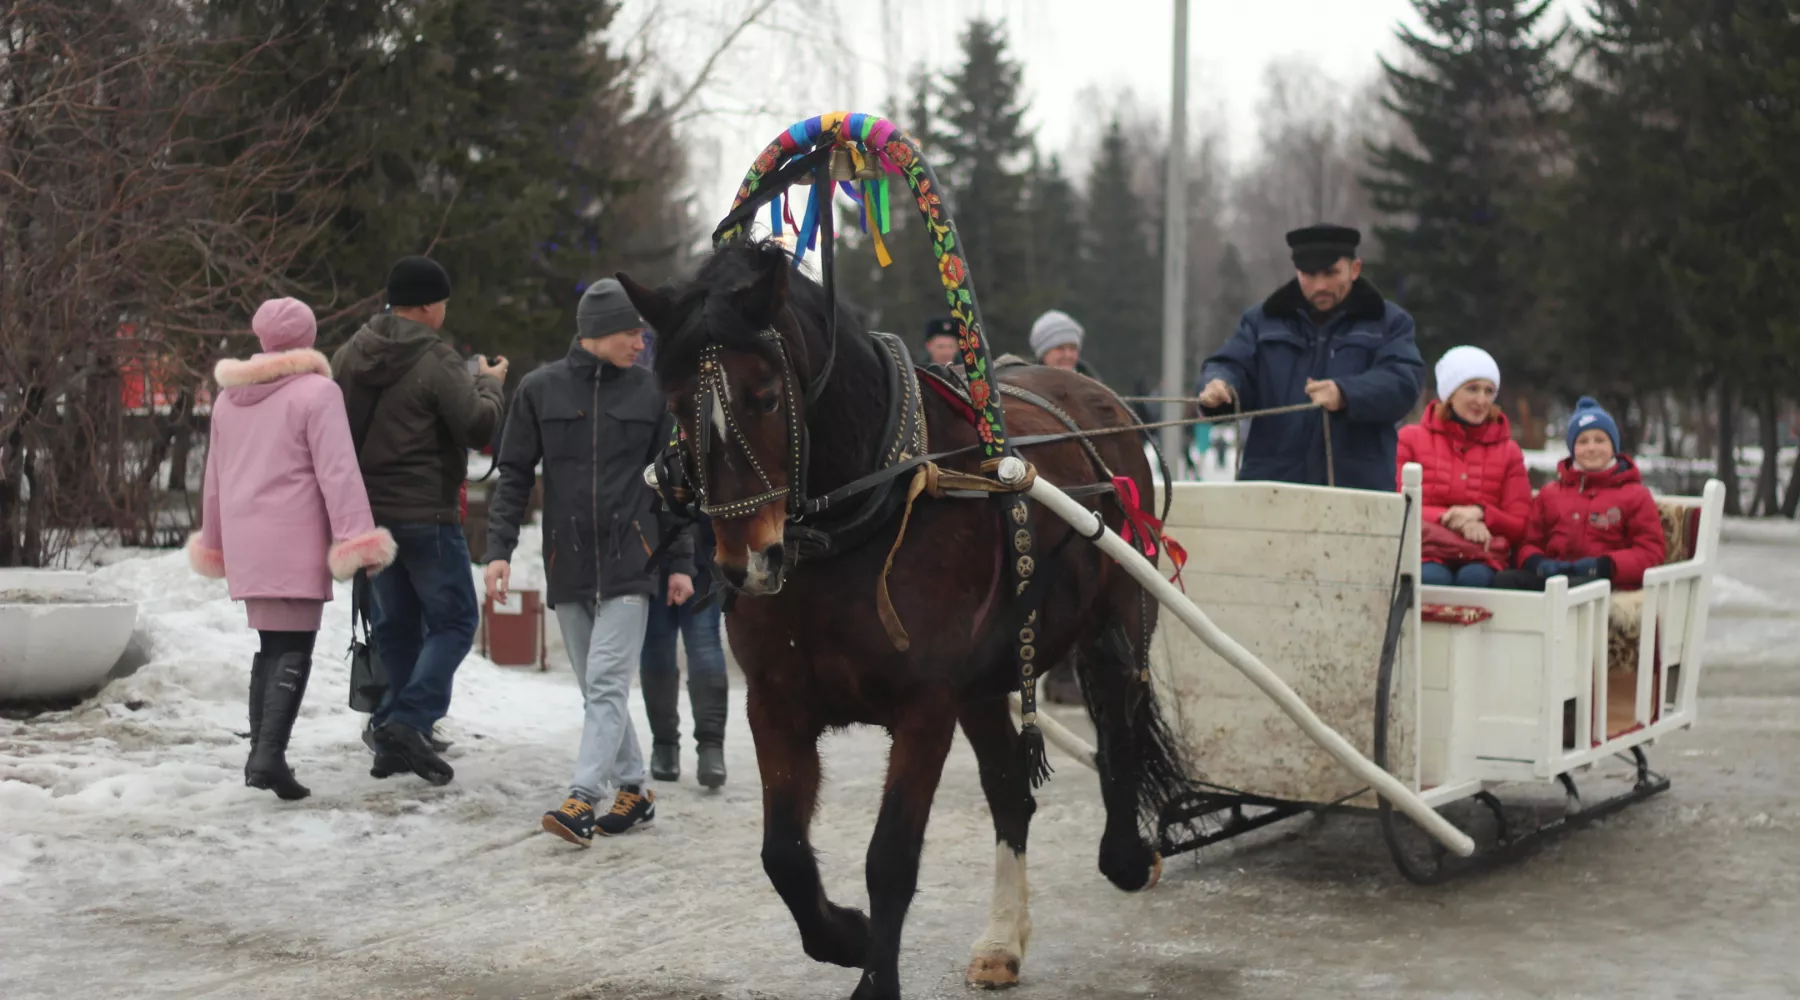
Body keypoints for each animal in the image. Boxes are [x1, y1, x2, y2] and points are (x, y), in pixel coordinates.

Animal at [619, 241, 1195, 1000]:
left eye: (765, 396)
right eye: (677, 405)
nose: (748, 565)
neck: (857, 519)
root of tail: (1104, 404)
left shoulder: (924, 707)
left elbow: (890, 856)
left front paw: (874, 976)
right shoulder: (777, 703)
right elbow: (783, 855)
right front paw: (847, 936)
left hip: (1119, 615)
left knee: (1119, 722)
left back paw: (1127, 855)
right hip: (985, 682)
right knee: (1010, 794)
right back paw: (1002, 941)